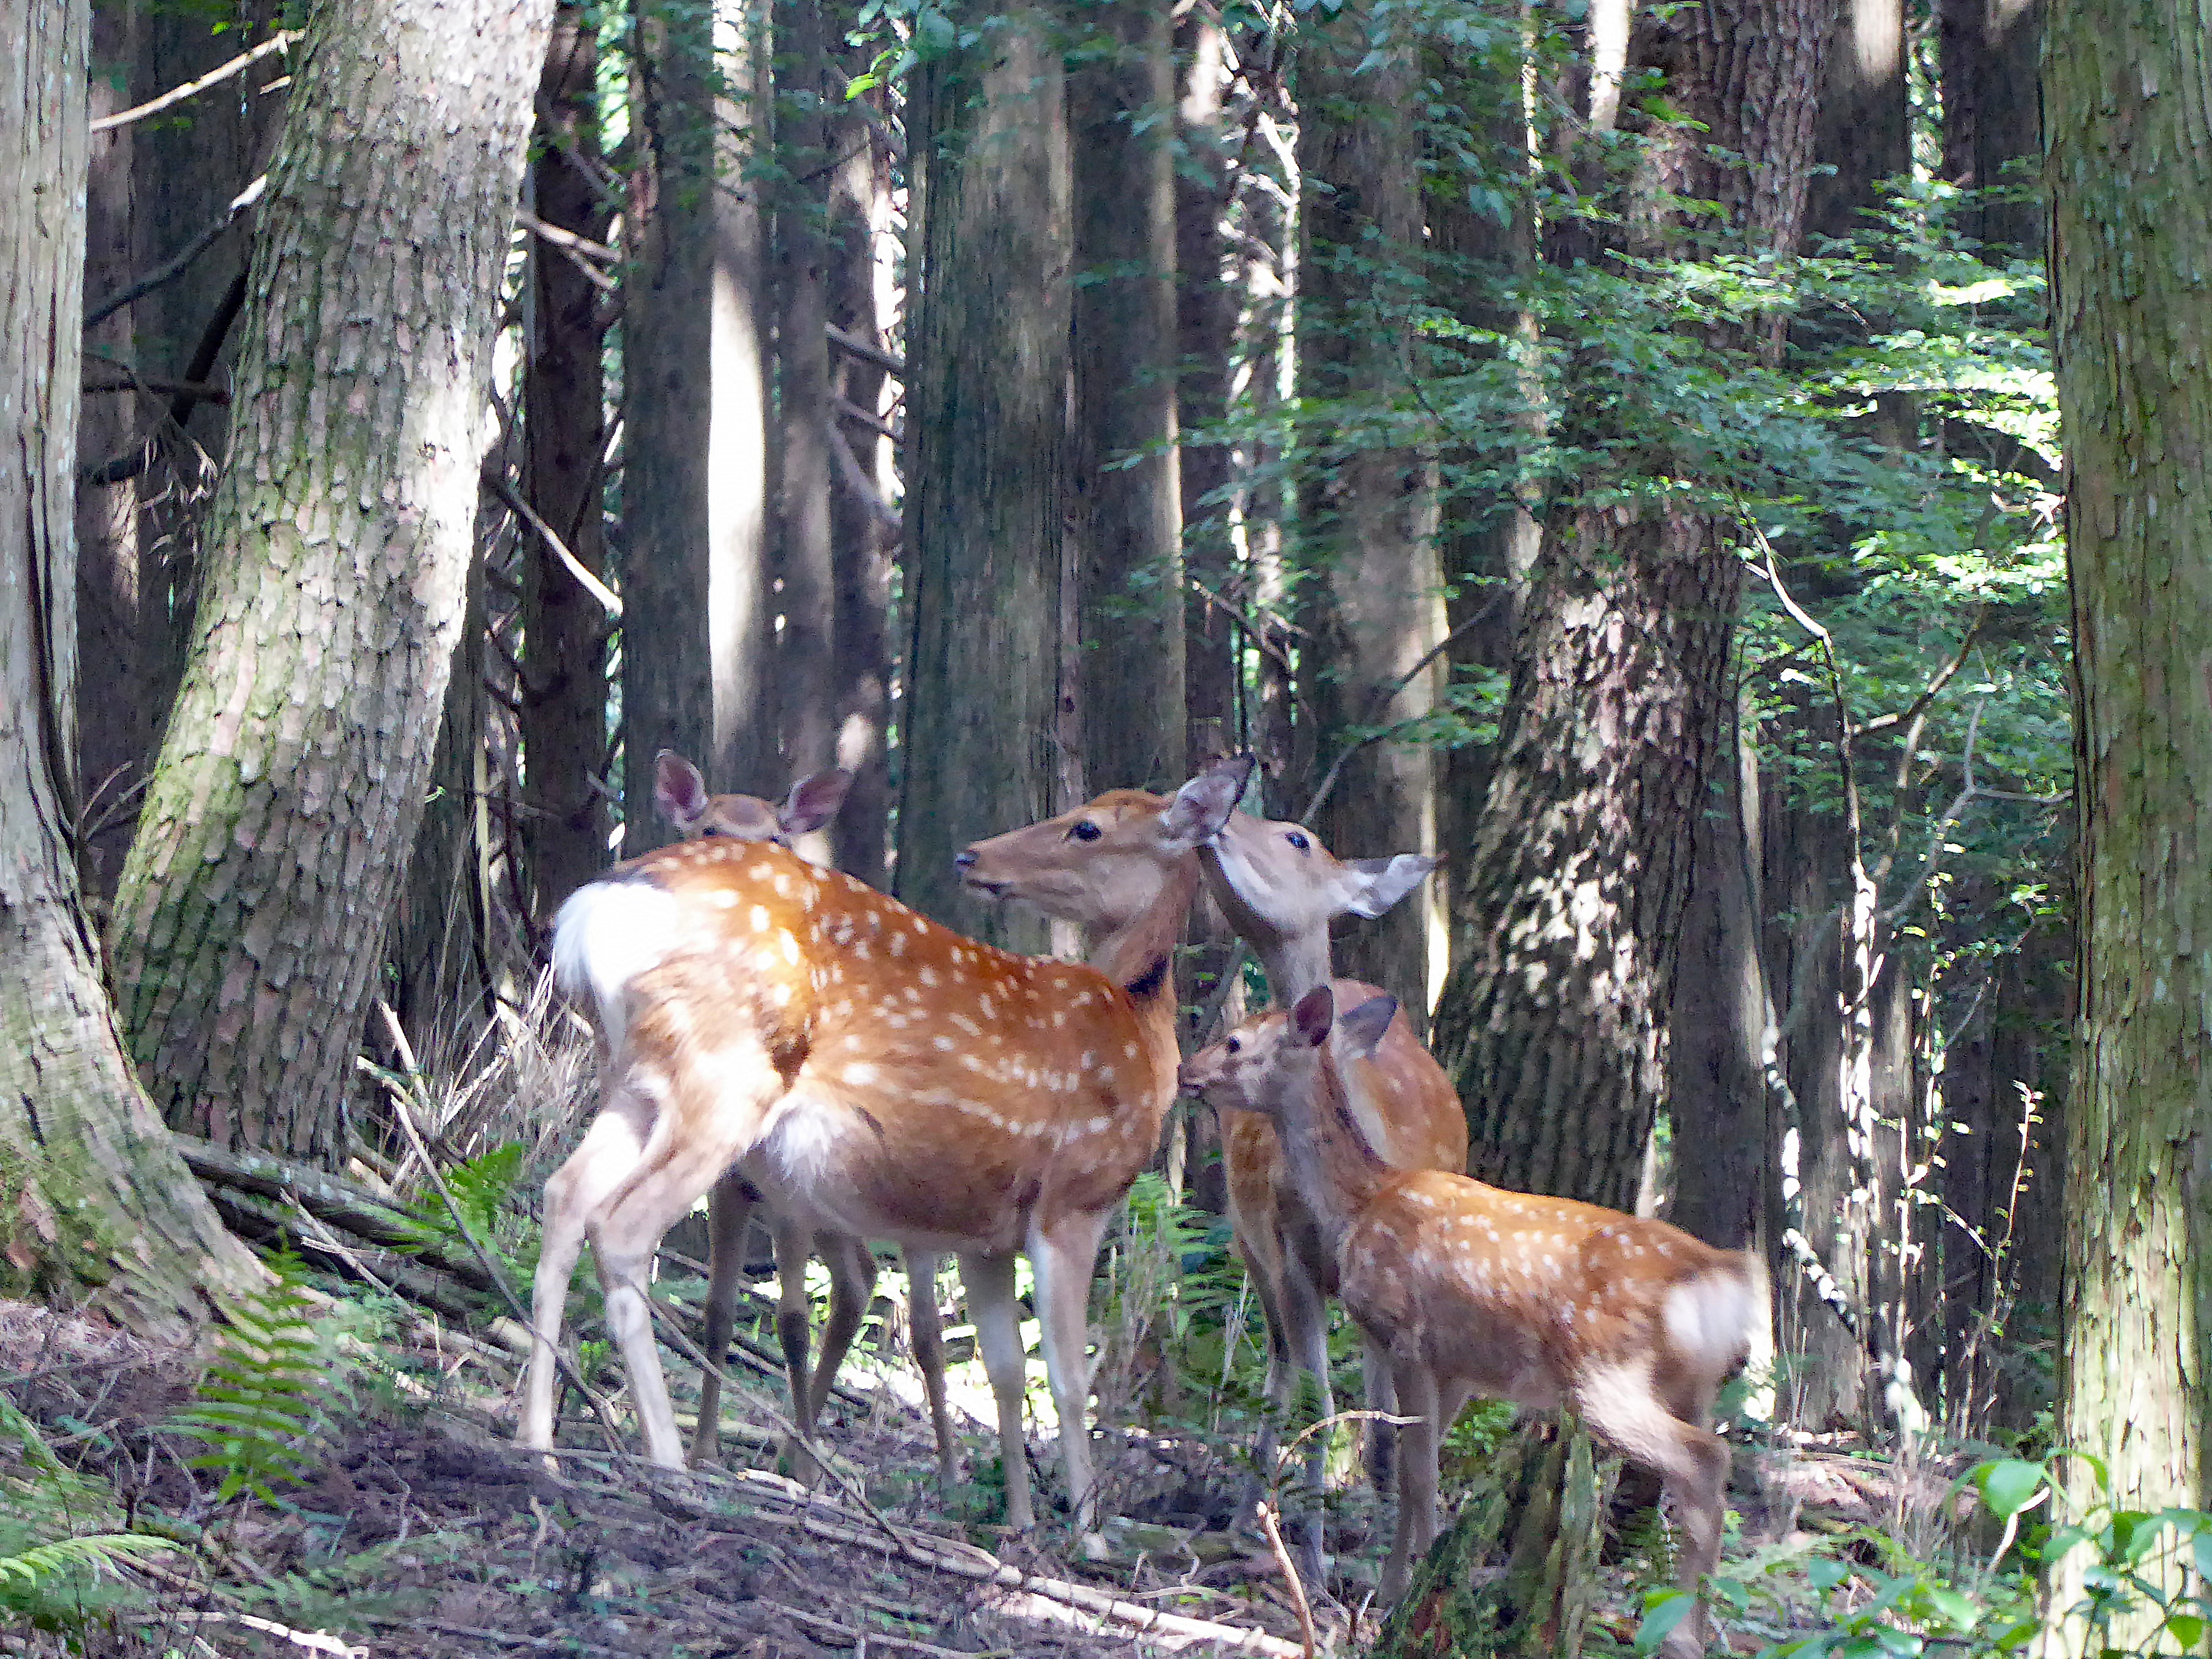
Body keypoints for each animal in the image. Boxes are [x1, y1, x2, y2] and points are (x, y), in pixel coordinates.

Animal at [522, 755, 1251, 1534]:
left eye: (1087, 826)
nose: (973, 856)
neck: (1140, 1030)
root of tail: (599, 907)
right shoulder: (1074, 1198)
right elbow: (1068, 1374)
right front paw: (1087, 1532)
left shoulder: (987, 1233)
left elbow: (1005, 1368)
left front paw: (1020, 1521)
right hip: (725, 1076)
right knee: (622, 1226)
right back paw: (669, 1463)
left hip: (636, 1080)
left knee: (565, 1195)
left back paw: (539, 1445)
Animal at [1180, 986, 1763, 1656]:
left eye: (1235, 1041)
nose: (1185, 1070)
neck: (1361, 1203)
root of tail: (1723, 1275)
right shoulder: (1457, 1365)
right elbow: (1417, 1462)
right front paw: (1404, 1578)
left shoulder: (1404, 1333)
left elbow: (1414, 1470)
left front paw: (1398, 1593)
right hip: (1691, 1388)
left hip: (1604, 1374)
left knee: (1705, 1463)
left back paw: (1680, 1637)